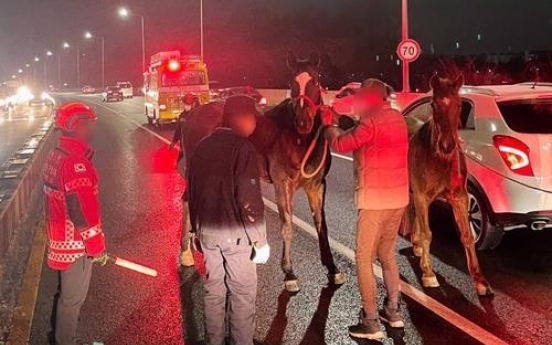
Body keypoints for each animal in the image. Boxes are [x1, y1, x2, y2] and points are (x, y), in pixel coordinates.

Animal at [181, 52, 344, 292]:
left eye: (315, 81)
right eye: (291, 83)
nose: (303, 121)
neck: (298, 140)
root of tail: (194, 112)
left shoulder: (317, 186)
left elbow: (321, 226)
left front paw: (332, 269)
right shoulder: (282, 184)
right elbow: (287, 225)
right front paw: (289, 273)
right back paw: (186, 252)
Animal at [408, 75, 494, 296]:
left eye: (459, 105)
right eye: (433, 104)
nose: (447, 145)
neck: (440, 159)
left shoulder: (460, 197)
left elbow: (467, 235)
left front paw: (480, 281)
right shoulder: (422, 195)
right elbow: (427, 233)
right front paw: (428, 273)